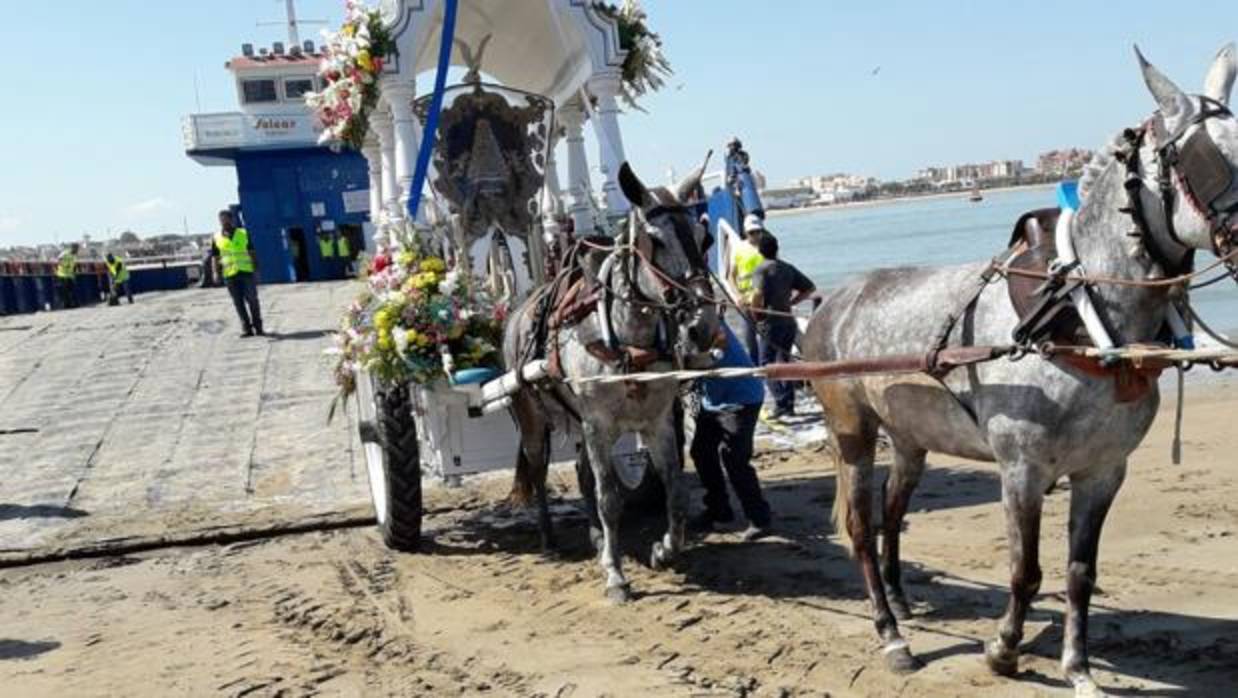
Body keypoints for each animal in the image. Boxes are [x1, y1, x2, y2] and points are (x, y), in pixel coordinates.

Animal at [500, 162, 722, 598]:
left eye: (703, 237)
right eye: (655, 240)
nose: (702, 326)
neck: (626, 339)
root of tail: (517, 312)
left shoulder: (655, 422)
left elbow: (675, 492)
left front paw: (663, 551)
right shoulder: (599, 424)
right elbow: (610, 500)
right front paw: (616, 575)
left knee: (583, 473)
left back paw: (597, 537)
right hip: (533, 417)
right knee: (537, 470)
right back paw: (549, 537)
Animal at [802, 46, 1238, 693]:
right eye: (1207, 157)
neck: (1076, 314)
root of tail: (831, 303)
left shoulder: (1104, 470)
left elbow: (1080, 572)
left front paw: (1078, 667)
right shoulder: (1022, 470)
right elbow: (1026, 571)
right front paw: (1003, 650)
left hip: (909, 436)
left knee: (891, 511)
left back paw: (901, 599)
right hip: (851, 430)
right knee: (859, 527)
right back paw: (891, 633)